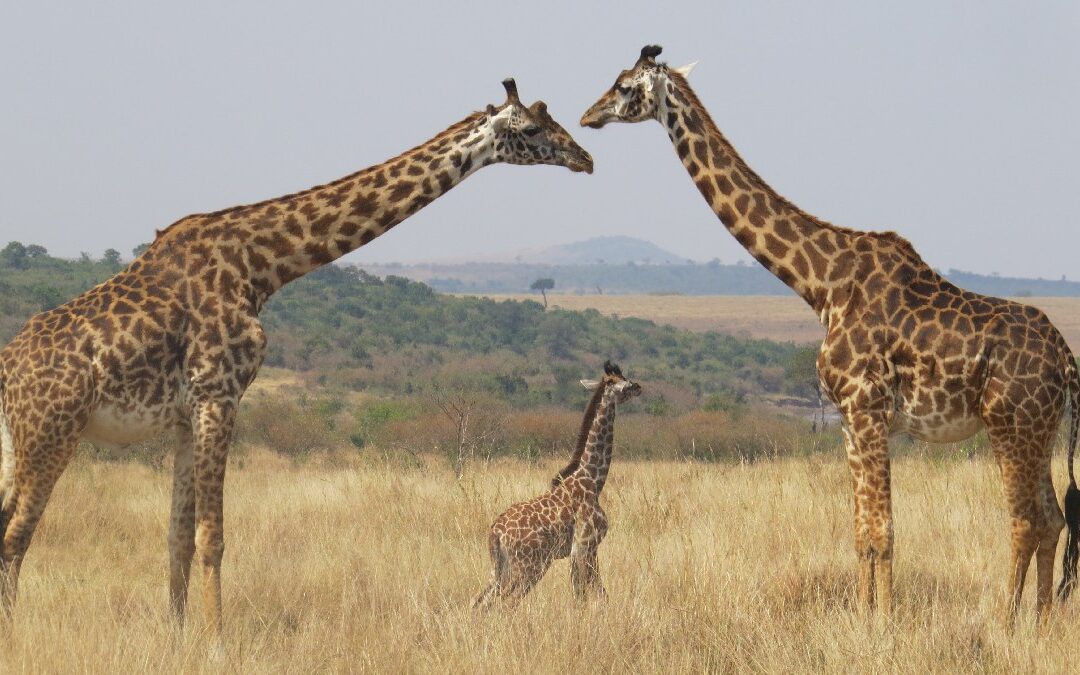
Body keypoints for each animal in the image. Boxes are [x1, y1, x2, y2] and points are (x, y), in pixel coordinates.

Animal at [0, 78, 591, 635]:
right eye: (532, 129)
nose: (585, 157)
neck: (262, 265)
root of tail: (8, 373)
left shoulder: (187, 414)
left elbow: (178, 537)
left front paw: (178, 636)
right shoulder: (219, 394)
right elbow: (213, 537)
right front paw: (217, 642)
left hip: (15, 441)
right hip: (51, 433)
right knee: (14, 536)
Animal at [475, 360, 639, 609]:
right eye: (619, 381)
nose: (638, 386)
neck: (593, 480)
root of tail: (496, 532)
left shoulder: (581, 550)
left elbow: (584, 593)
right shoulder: (585, 545)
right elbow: (592, 593)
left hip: (500, 569)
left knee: (479, 602)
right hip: (530, 566)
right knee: (506, 603)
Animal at [583, 44, 1080, 617]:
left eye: (624, 86)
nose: (588, 115)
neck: (821, 285)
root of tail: (1066, 358)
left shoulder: (867, 409)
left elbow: (884, 531)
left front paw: (885, 622)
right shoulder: (848, 418)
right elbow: (862, 532)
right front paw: (865, 616)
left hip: (1010, 424)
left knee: (1024, 521)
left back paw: (1005, 621)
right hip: (1040, 428)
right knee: (1053, 519)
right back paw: (1040, 621)